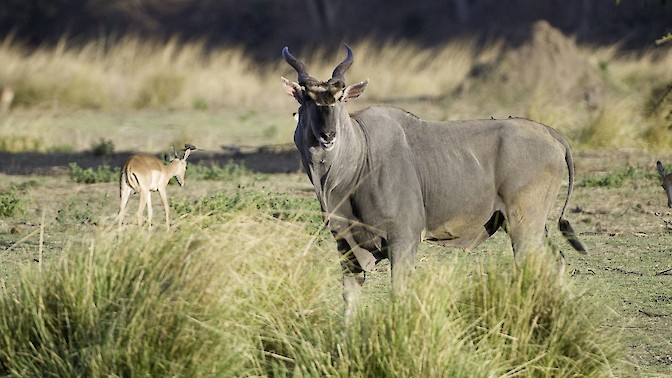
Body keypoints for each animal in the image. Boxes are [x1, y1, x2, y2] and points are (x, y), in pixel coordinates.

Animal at [280, 44, 584, 318]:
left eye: (341, 97)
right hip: (531, 226)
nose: (328, 135)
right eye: (307, 98)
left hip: (524, 226)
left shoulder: (403, 239)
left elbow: (398, 292)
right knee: (557, 260)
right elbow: (349, 298)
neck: (359, 158)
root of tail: (552, 134)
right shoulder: (346, 246)